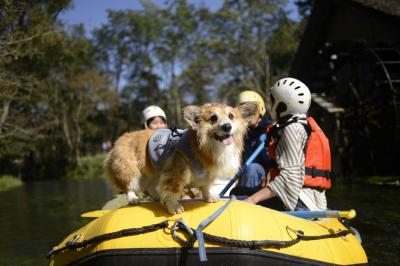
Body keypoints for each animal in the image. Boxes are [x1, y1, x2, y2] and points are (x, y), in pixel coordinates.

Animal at [104, 101, 258, 214]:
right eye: (213, 119)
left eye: (231, 116)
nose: (227, 126)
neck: (209, 147)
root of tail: (120, 138)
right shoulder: (176, 171)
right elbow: (173, 190)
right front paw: (174, 206)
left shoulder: (208, 174)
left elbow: (206, 186)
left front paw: (209, 197)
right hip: (129, 170)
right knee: (129, 185)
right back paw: (133, 198)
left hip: (154, 171)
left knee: (151, 186)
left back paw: (157, 197)